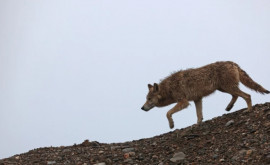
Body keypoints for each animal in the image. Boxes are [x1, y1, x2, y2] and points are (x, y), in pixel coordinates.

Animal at [140, 61, 268, 128]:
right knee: (236, 96)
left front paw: (171, 125)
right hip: (224, 89)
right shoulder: (197, 99)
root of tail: (231, 62)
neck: (169, 88)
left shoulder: (184, 102)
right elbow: (199, 115)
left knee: (247, 96)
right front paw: (198, 124)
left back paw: (248, 110)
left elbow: (167, 113)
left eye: (149, 99)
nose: (142, 108)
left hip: (228, 88)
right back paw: (229, 107)